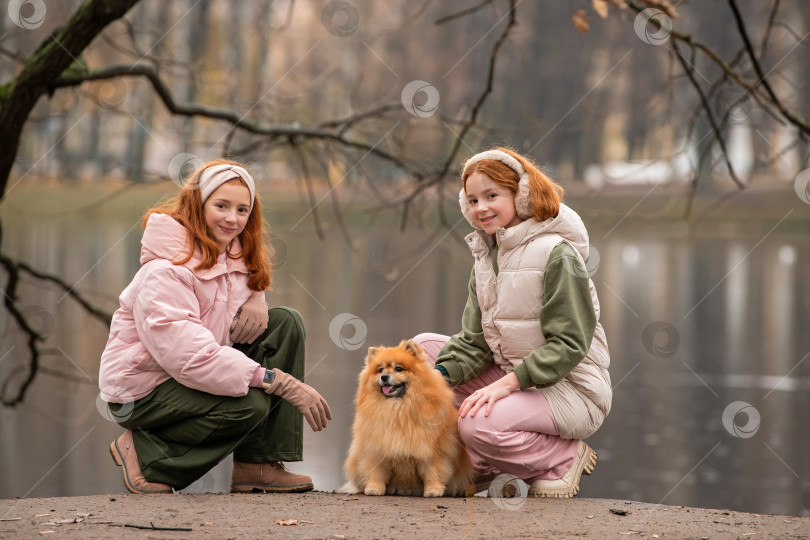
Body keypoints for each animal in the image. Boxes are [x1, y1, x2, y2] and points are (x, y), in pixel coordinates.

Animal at [336, 340, 474, 496]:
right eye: (380, 370)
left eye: (399, 369)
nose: (384, 377)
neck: (398, 407)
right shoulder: (377, 447)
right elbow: (376, 472)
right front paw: (374, 488)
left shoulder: (433, 451)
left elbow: (433, 472)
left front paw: (433, 490)